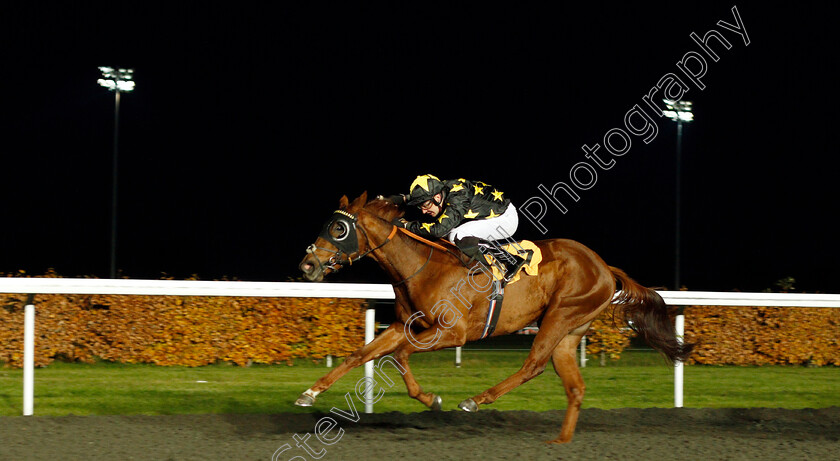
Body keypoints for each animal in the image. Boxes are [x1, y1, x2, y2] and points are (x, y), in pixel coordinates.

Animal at [298, 191, 692, 442]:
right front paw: (309, 393)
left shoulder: (451, 333)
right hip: (570, 330)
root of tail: (604, 267)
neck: (421, 266)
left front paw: (432, 399)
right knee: (574, 386)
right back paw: (560, 442)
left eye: (338, 229)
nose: (307, 265)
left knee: (533, 365)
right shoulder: (404, 326)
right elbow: (361, 354)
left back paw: (475, 400)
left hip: (560, 315)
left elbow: (399, 356)